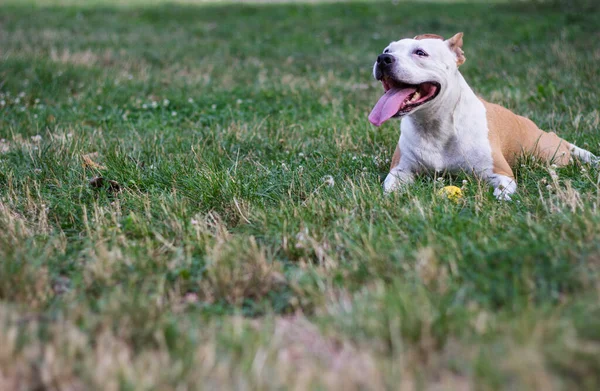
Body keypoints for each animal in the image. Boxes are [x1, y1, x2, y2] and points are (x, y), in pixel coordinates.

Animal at [370, 32, 596, 201]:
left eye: (420, 53)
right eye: (387, 50)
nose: (383, 58)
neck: (434, 124)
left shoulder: (500, 173)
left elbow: (503, 192)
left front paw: (501, 199)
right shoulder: (400, 171)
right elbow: (390, 188)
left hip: (549, 154)